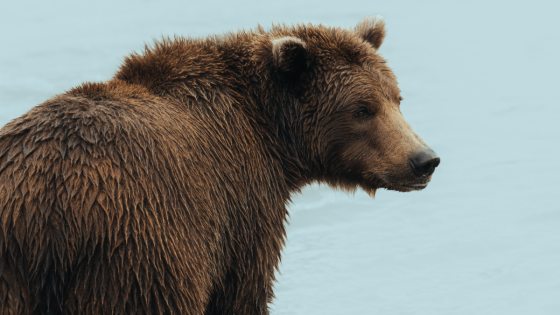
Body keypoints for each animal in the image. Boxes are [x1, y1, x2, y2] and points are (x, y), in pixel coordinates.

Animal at [0, 16, 438, 314]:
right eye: (362, 109)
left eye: (396, 98)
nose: (424, 160)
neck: (271, 132)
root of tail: (46, 204)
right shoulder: (241, 203)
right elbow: (242, 289)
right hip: (134, 250)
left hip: (15, 270)